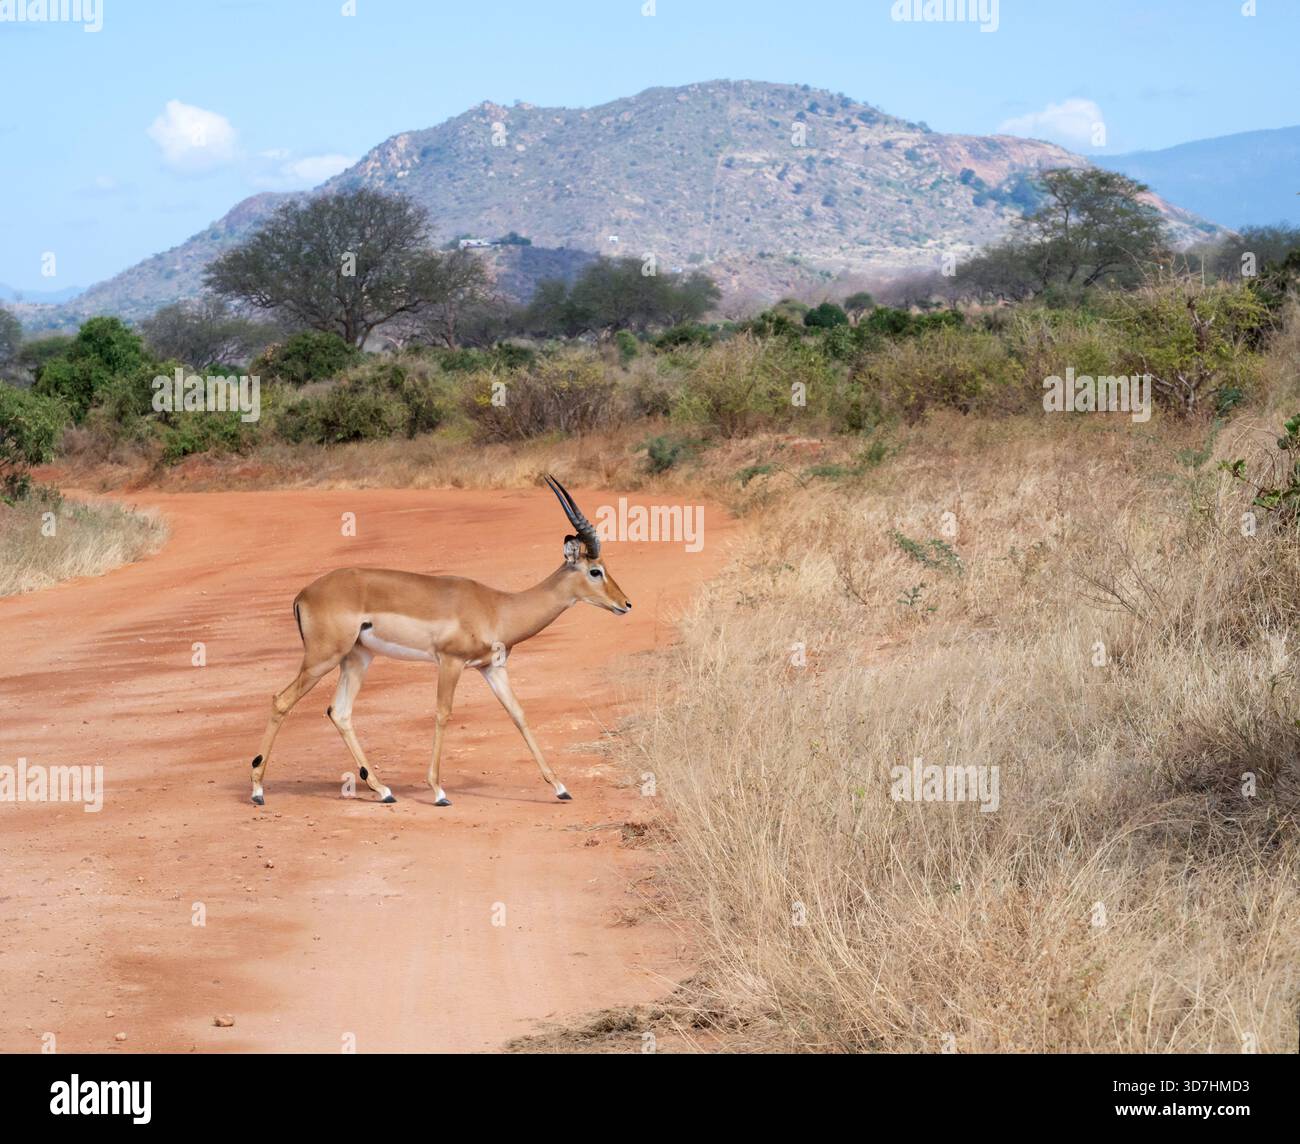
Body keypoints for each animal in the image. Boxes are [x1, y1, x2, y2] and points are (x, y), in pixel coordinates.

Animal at [249, 476, 632, 807]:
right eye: (595, 570)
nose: (626, 604)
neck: (497, 607)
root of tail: (304, 593)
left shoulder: (492, 668)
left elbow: (518, 714)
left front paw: (561, 787)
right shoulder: (450, 662)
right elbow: (442, 713)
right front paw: (438, 791)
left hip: (357, 658)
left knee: (340, 711)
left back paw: (384, 790)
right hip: (322, 658)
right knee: (281, 701)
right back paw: (257, 791)